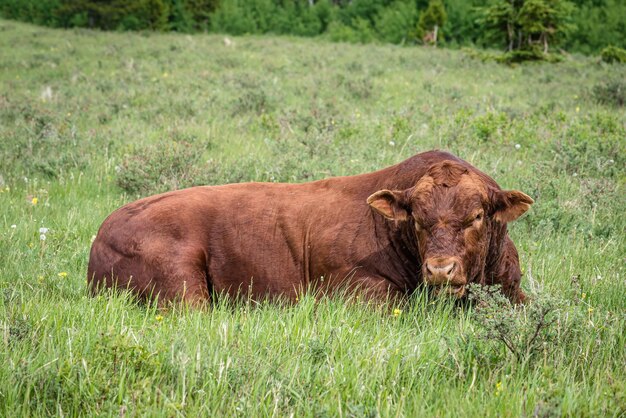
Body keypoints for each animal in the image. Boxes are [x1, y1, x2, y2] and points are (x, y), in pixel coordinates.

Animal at [88, 150, 532, 304]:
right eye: (418, 221)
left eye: (477, 217)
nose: (440, 269)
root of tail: (103, 232)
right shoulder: (358, 291)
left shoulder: (515, 289)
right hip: (182, 286)